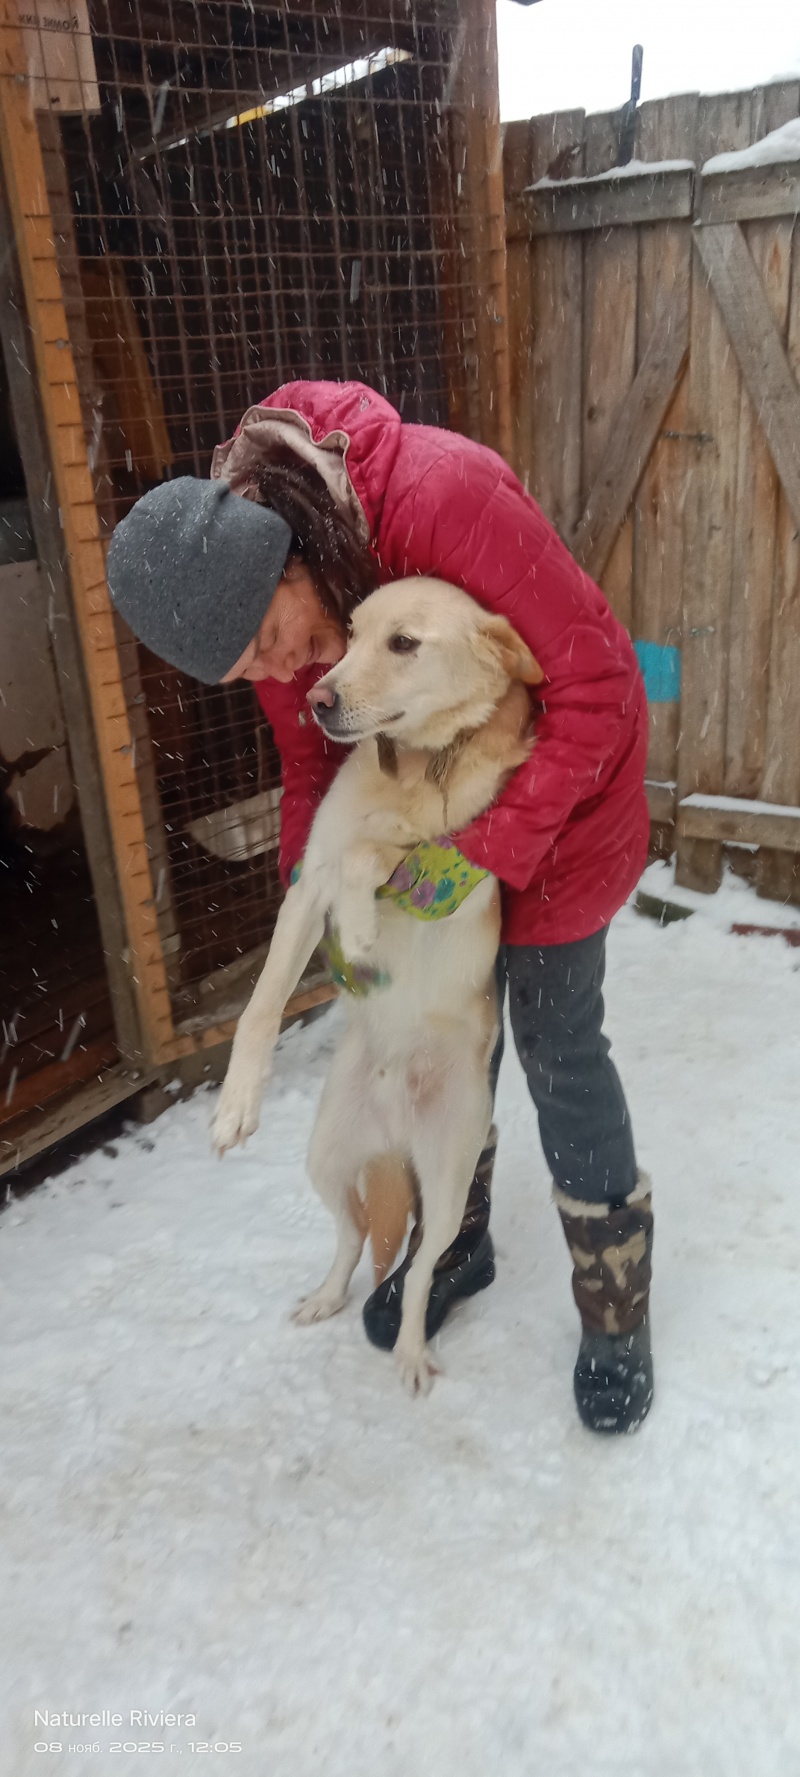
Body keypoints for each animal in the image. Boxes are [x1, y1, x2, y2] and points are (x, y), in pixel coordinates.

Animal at [212, 577, 541, 1392]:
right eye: (352, 634)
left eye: (404, 643)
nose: (317, 699)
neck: (415, 769)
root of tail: (395, 1126)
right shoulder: (307, 887)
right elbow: (262, 1005)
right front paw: (236, 1106)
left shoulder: (457, 859)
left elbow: (378, 854)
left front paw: (361, 929)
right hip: (327, 1156)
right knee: (354, 1233)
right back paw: (327, 1295)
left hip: (450, 1184)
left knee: (418, 1270)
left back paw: (413, 1350)